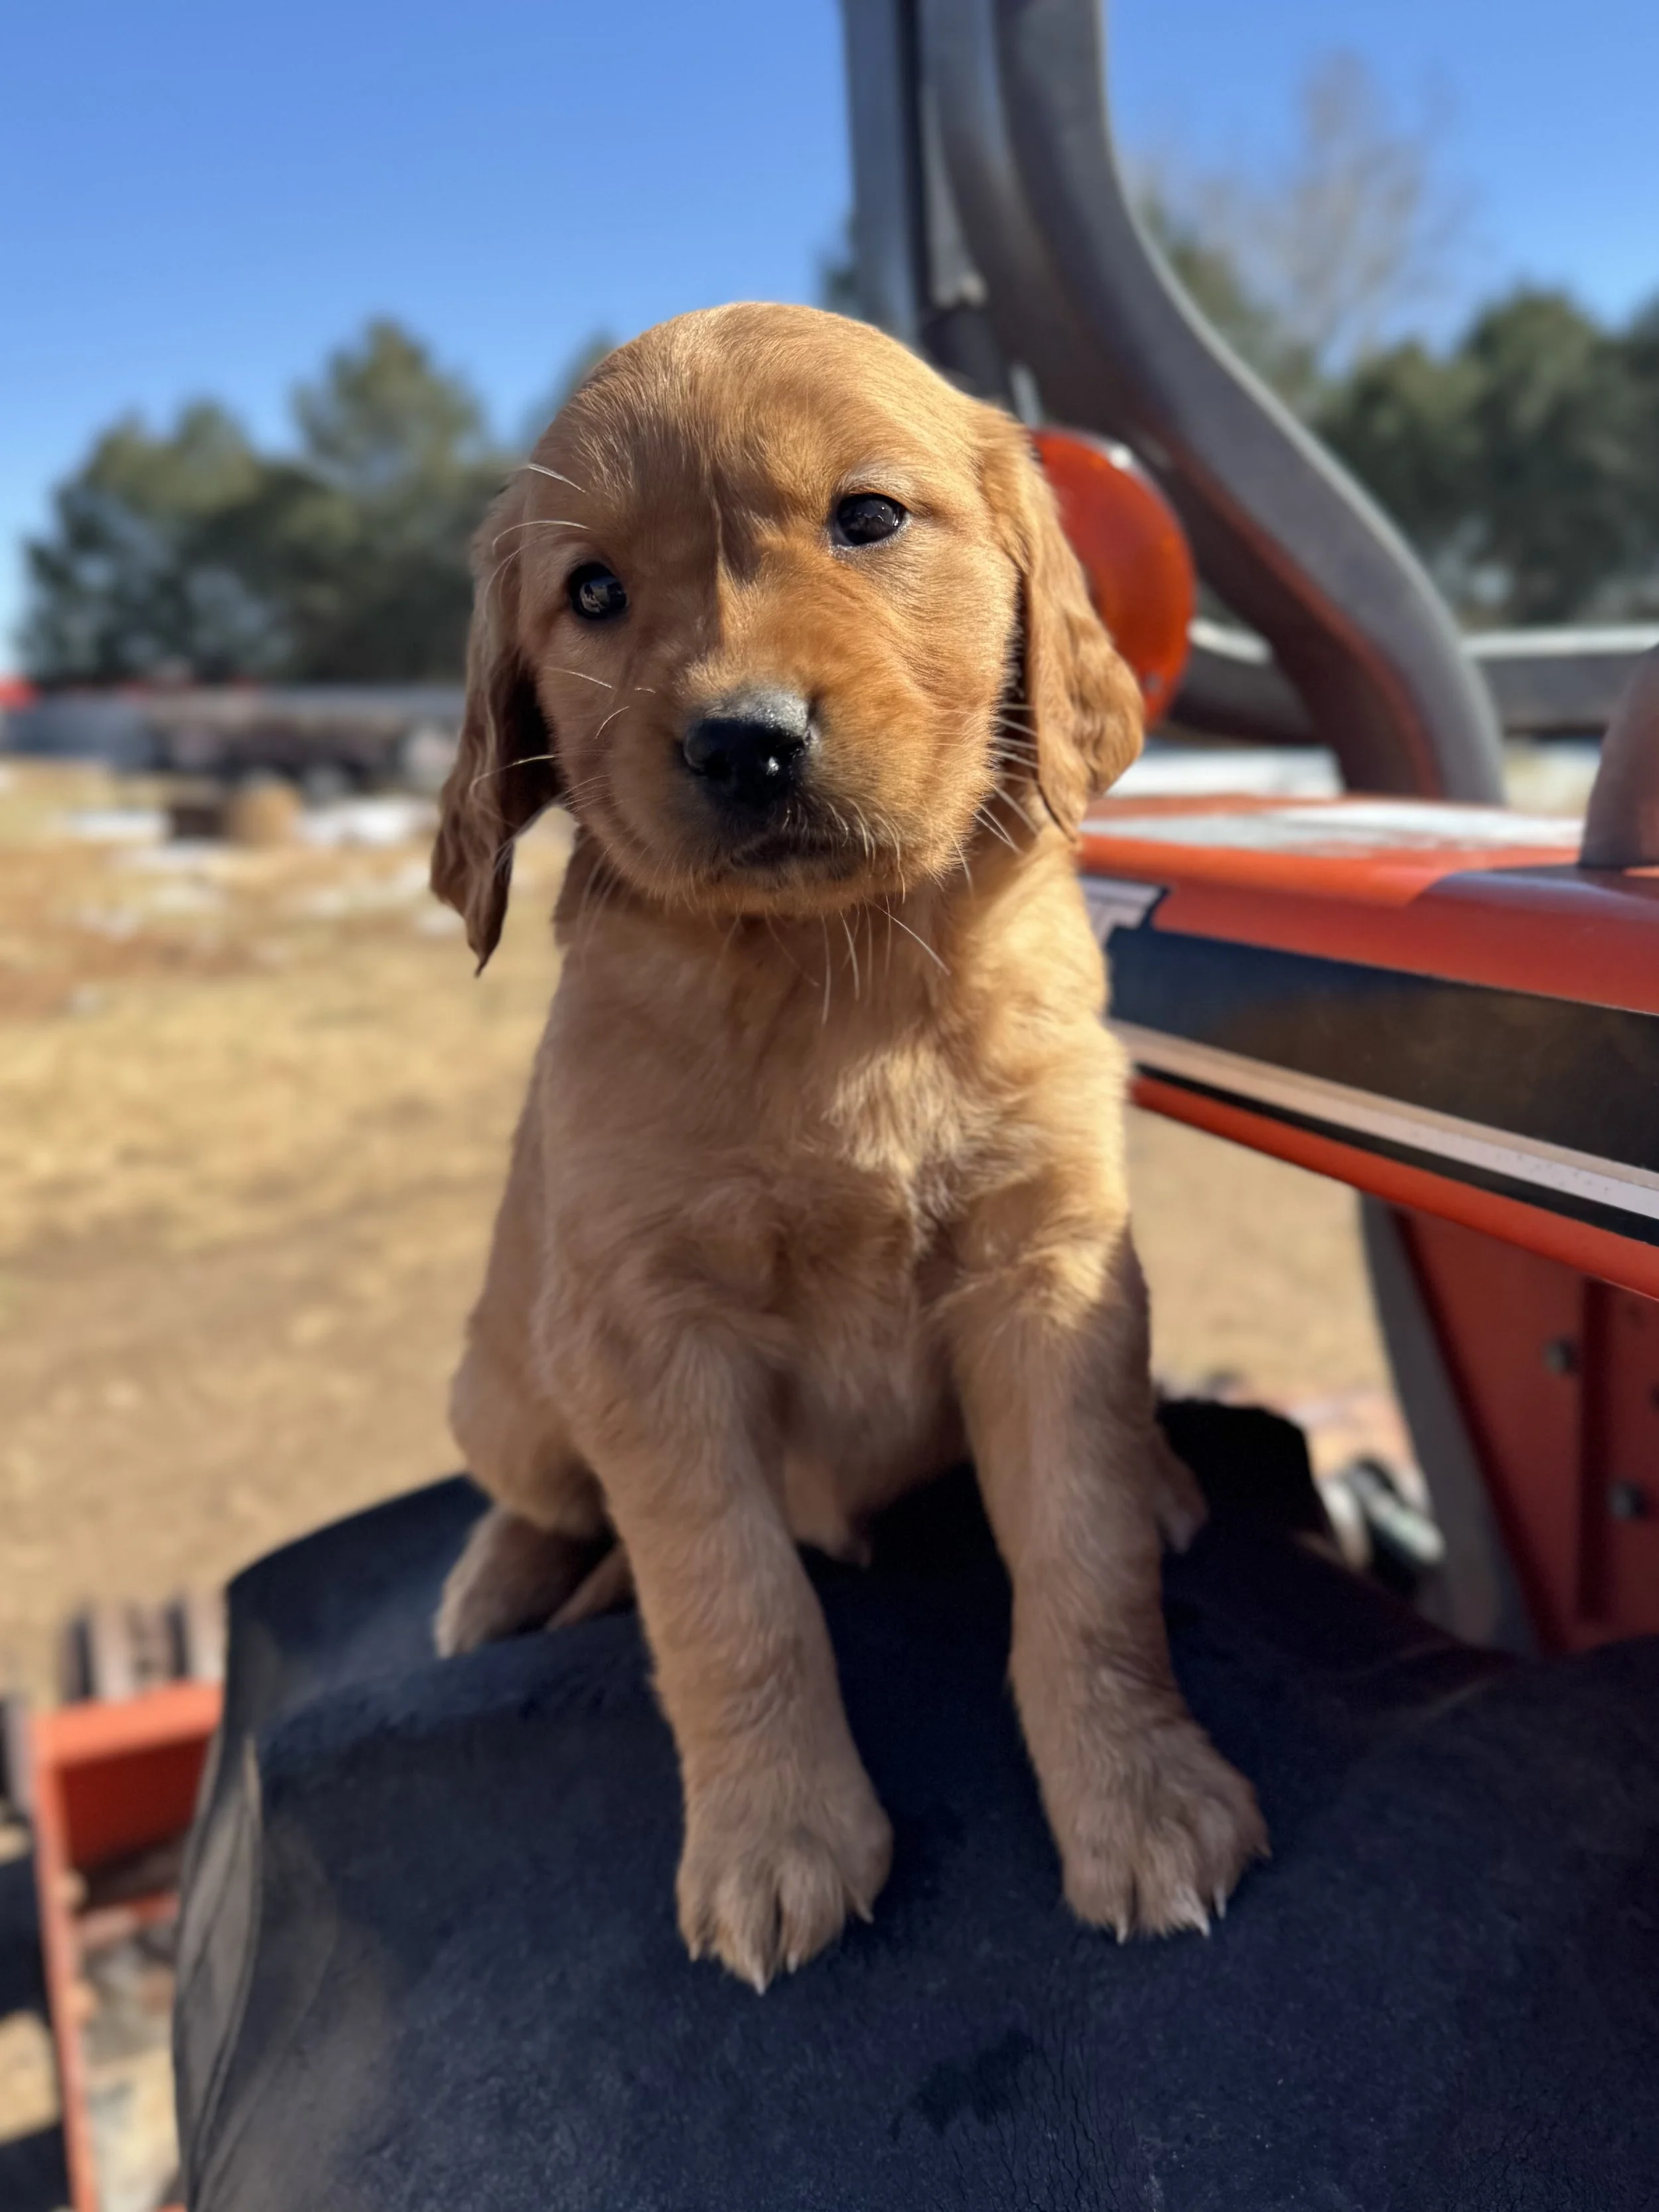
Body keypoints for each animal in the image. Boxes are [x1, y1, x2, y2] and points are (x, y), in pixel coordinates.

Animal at [430, 303, 1266, 1989]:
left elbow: (1083, 1561)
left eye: (868, 519)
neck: (838, 980)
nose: (741, 742)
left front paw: (1139, 1795)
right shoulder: (646, 1335)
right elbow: (731, 1602)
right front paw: (775, 1840)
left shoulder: (1048, 1267)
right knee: (539, 1495)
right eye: (592, 593)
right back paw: (494, 1582)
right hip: (509, 1381)